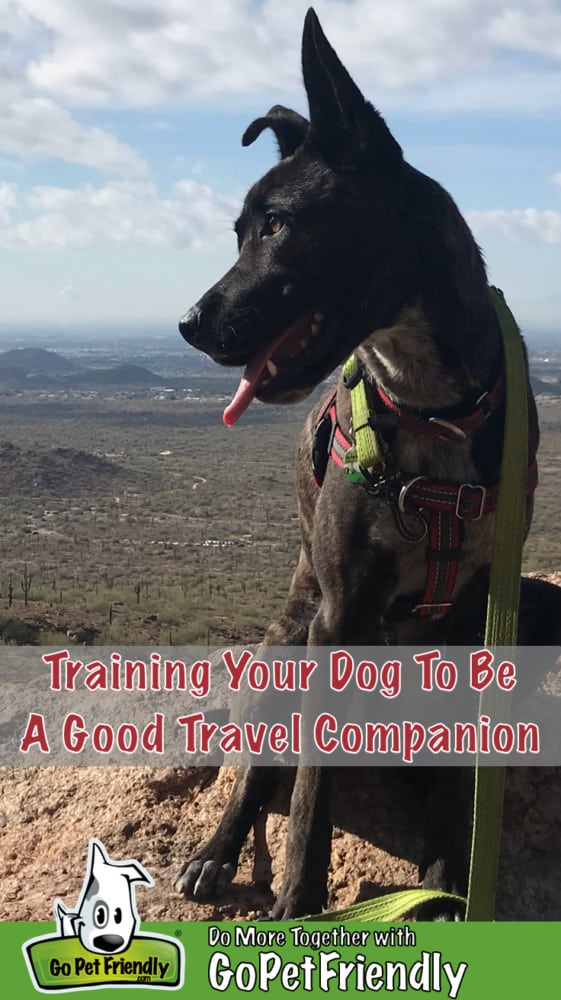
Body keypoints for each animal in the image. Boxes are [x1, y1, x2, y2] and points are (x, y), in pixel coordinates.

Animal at [176, 7, 556, 916]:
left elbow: (461, 775)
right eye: (238, 231)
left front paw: (451, 873)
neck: (426, 401)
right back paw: (215, 852)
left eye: (276, 224)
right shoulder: (338, 616)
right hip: (279, 653)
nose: (189, 324)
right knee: (260, 773)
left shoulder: (480, 617)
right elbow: (312, 786)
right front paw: (298, 900)